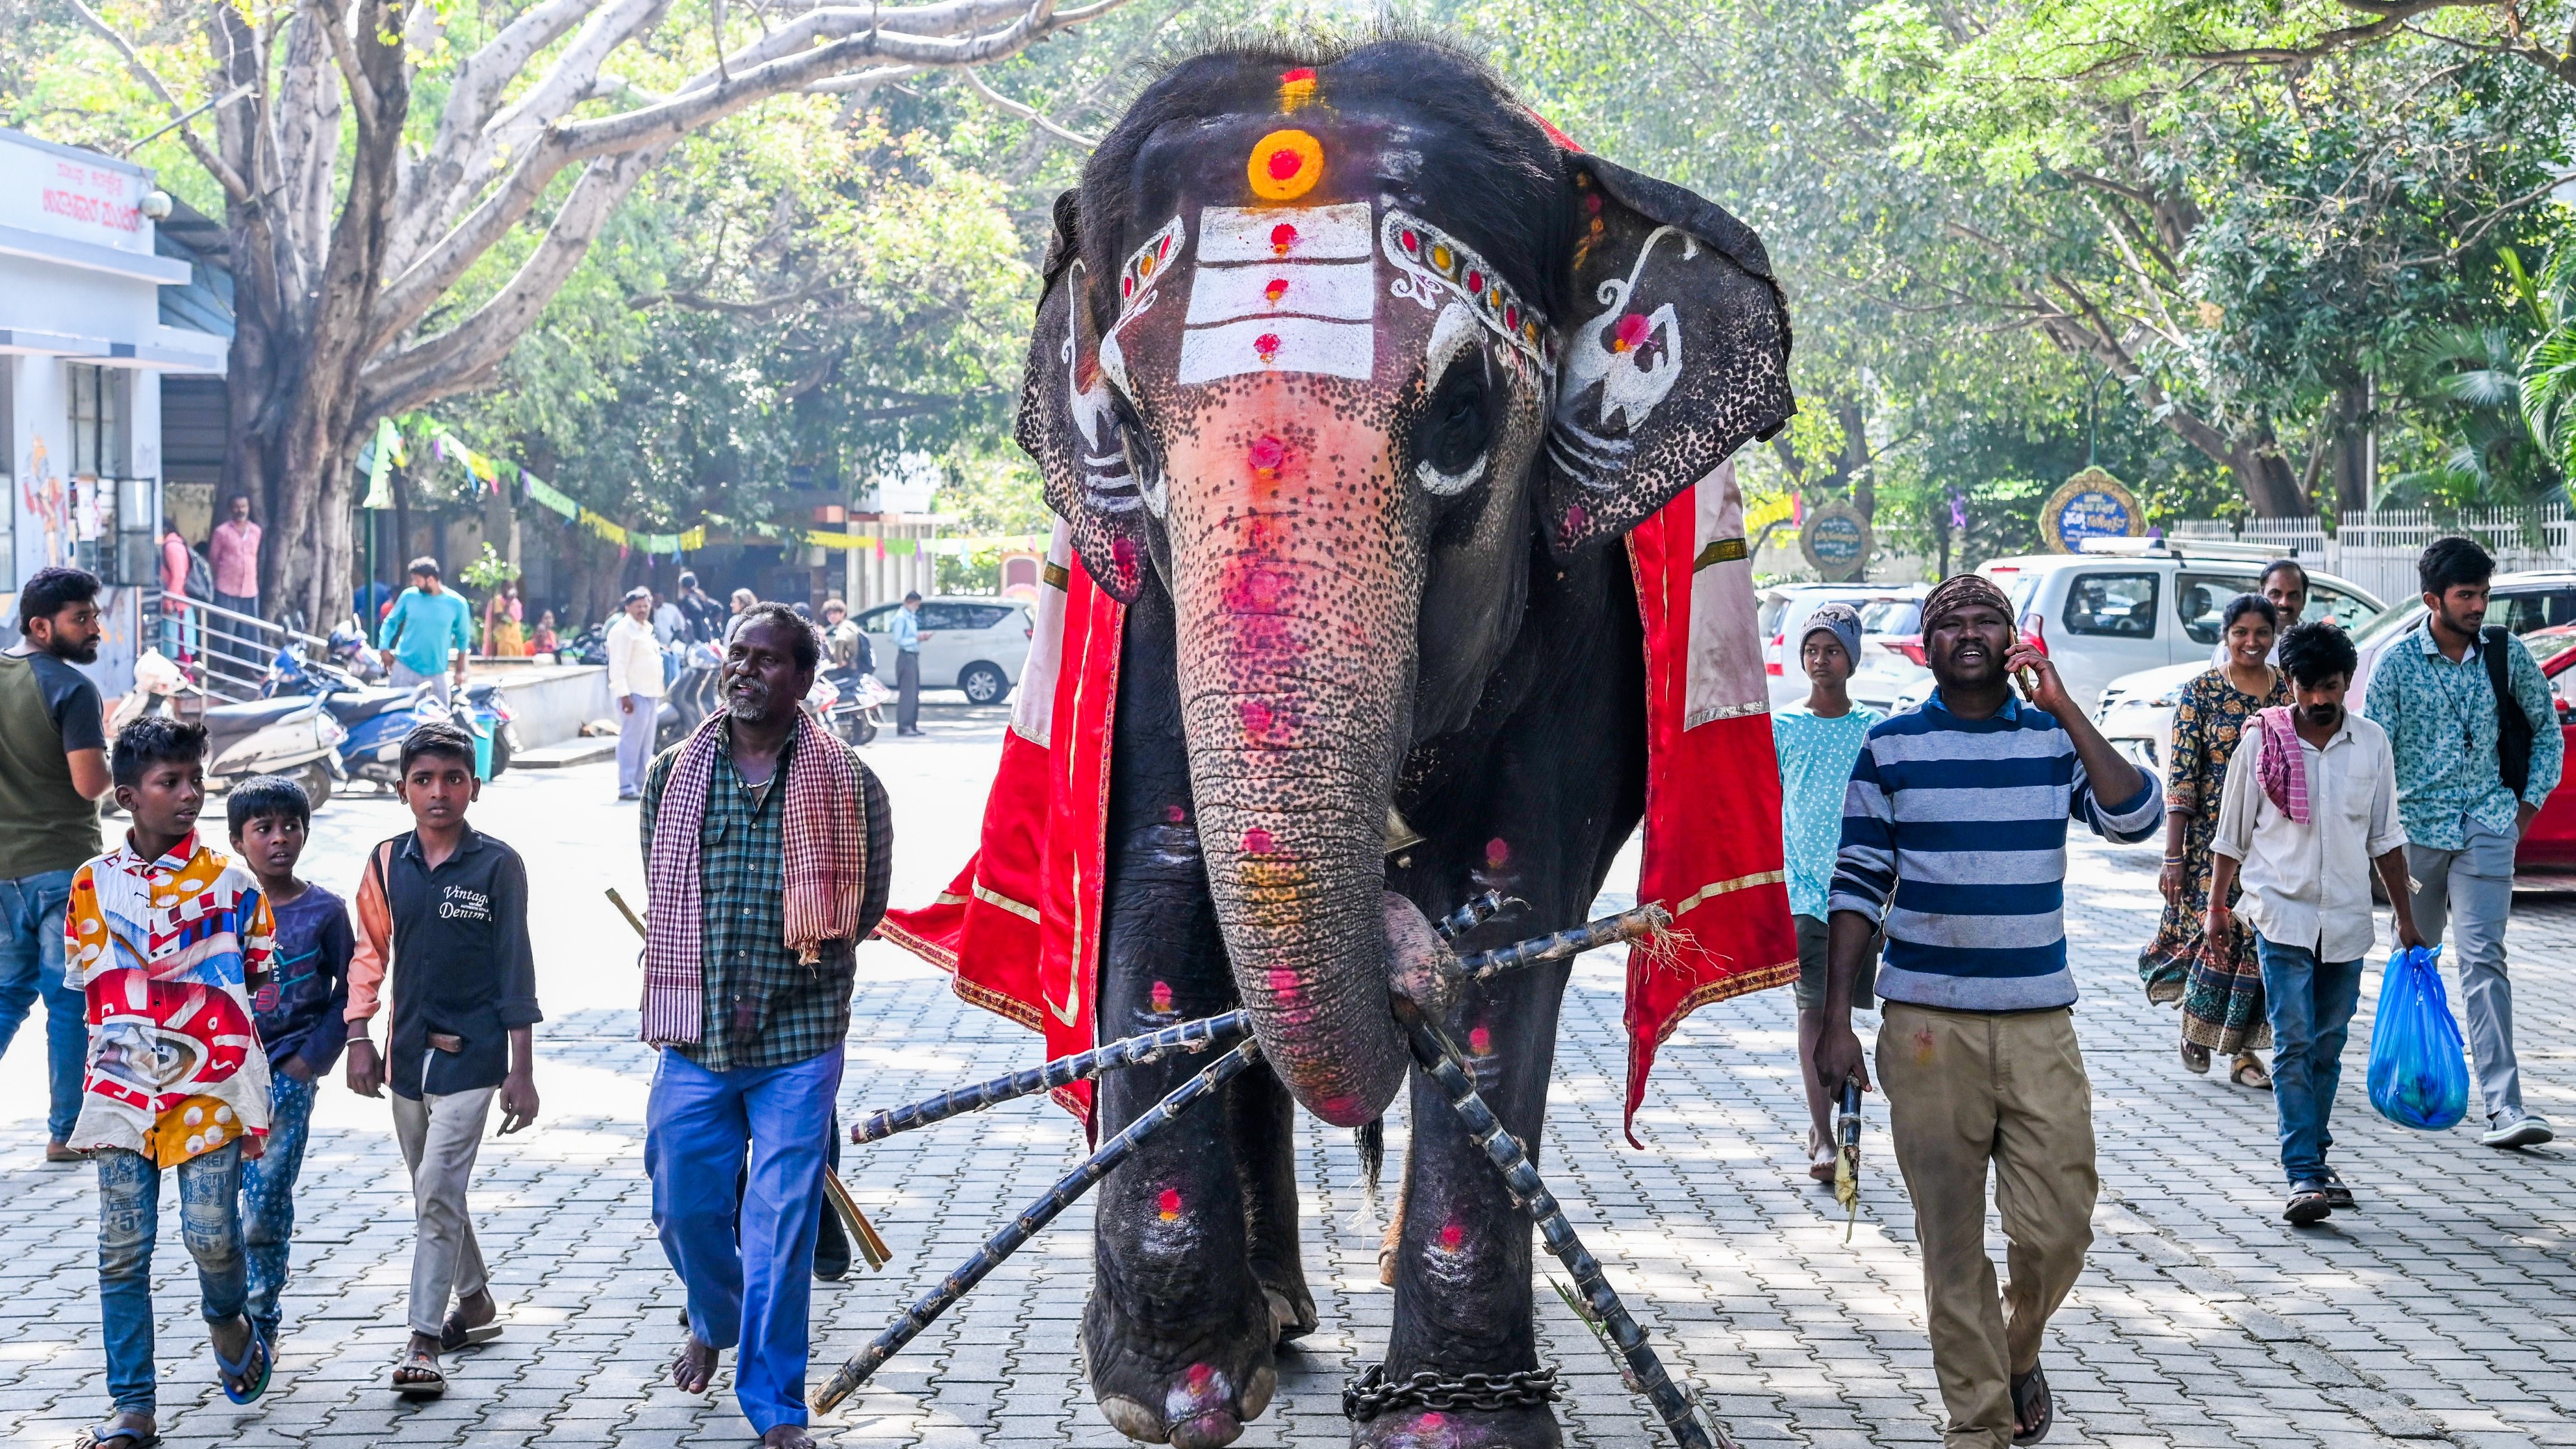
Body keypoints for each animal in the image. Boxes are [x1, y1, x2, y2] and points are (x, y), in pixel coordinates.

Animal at [1013, 35, 1793, 1449]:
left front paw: (1456, 1422)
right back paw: (1274, 1320)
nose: (1391, 947)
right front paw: (1168, 1391)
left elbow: (1508, 908)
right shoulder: (1144, 607)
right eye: (1130, 427)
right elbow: (1164, 875)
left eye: (1463, 414)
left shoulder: (1578, 612)